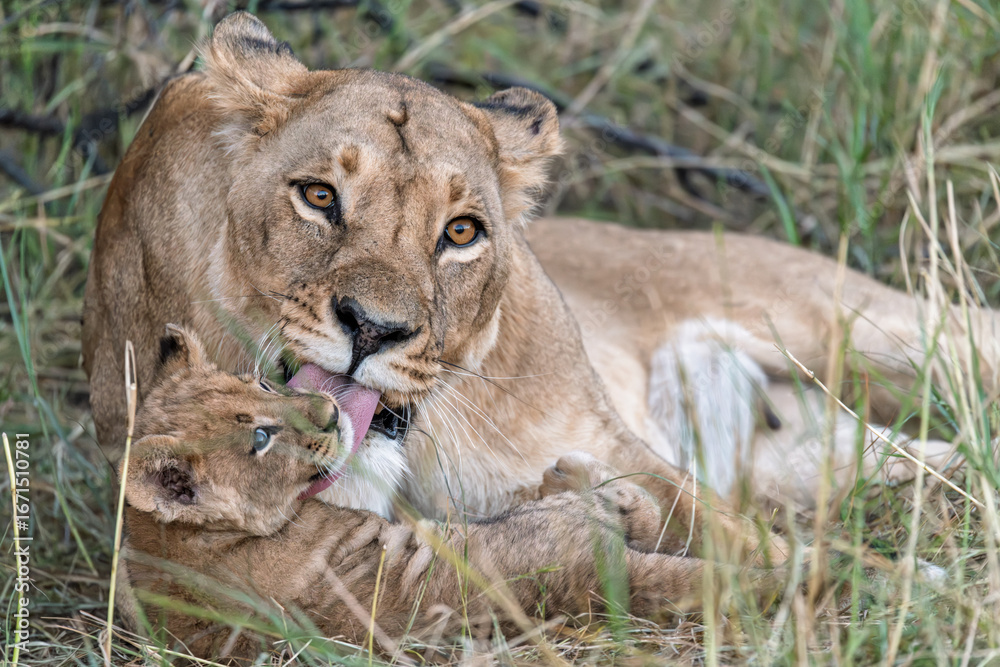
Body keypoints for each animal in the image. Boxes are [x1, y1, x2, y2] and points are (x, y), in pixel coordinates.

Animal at [121, 325, 781, 661]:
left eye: (261, 385)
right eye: (259, 437)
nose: (330, 412)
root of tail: (596, 583)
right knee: (622, 517)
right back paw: (577, 479)